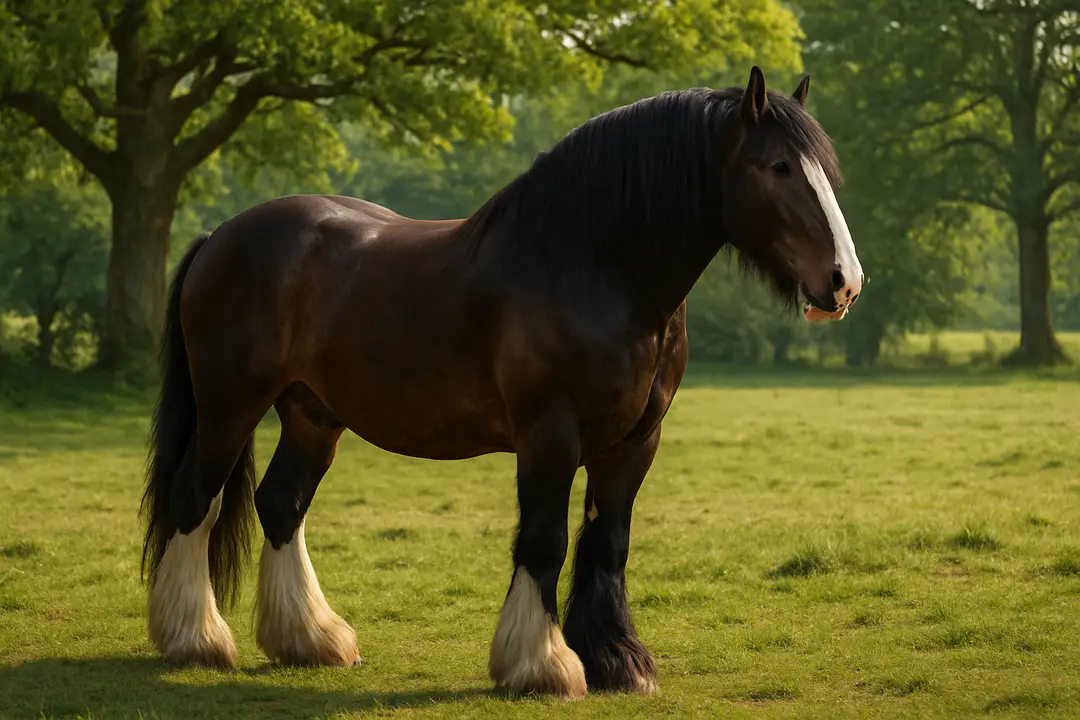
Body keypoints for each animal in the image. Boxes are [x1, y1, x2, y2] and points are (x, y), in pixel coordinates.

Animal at [139, 66, 863, 699]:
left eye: (828, 172)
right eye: (778, 167)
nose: (843, 281)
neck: (593, 266)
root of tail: (221, 235)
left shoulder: (634, 441)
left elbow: (608, 541)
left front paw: (616, 662)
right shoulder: (550, 435)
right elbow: (545, 540)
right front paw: (541, 666)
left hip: (312, 415)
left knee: (281, 504)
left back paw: (311, 641)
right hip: (230, 406)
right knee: (194, 499)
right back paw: (196, 641)